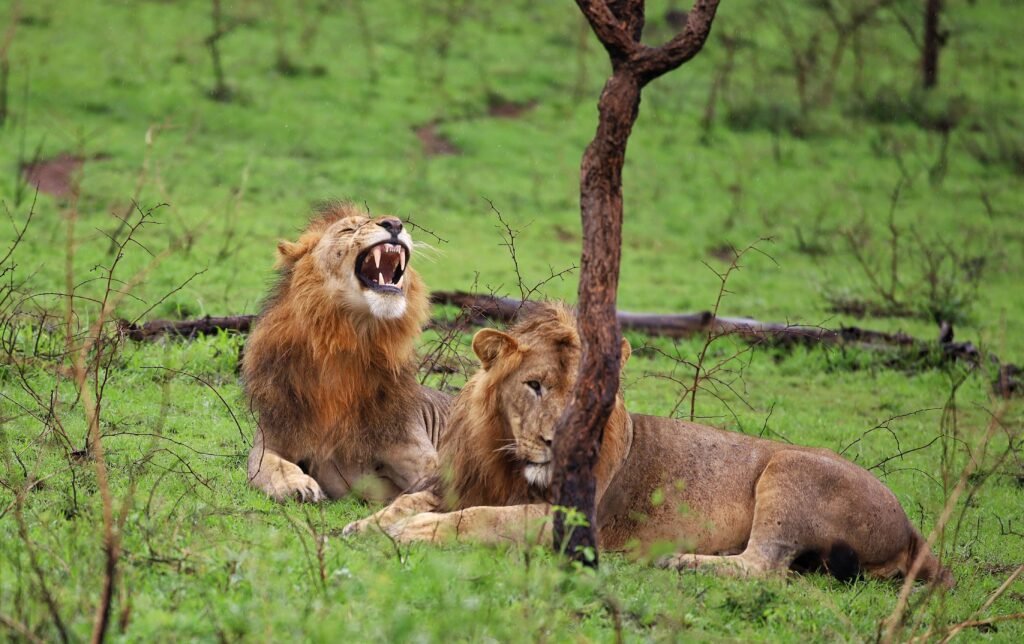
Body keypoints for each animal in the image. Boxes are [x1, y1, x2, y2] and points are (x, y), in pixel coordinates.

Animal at [243, 203, 449, 503]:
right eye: (349, 229)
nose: (395, 224)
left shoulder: (421, 457)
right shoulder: (272, 438)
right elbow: (267, 465)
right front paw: (298, 485)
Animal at [345, 303, 954, 586]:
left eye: (585, 394)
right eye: (535, 385)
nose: (556, 441)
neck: (508, 457)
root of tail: (912, 529)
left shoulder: (575, 521)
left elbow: (481, 519)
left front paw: (414, 531)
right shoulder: (456, 482)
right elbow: (408, 500)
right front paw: (363, 525)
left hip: (790, 468)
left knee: (763, 566)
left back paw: (680, 560)